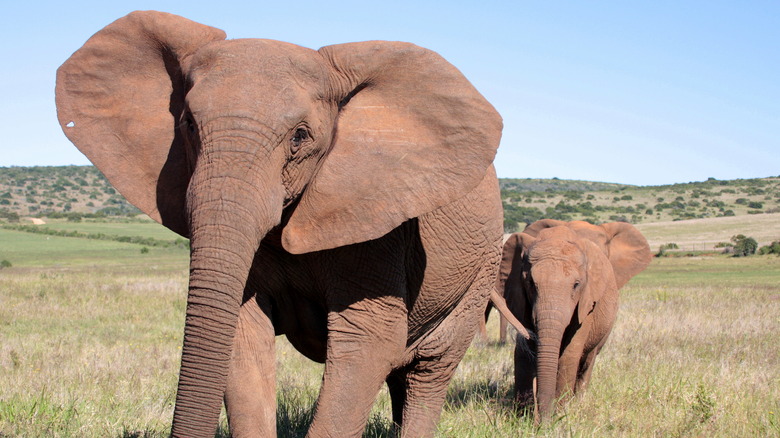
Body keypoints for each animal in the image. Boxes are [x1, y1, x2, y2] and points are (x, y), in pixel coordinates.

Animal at [56, 10, 506, 438]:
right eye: (188, 124)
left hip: (481, 269)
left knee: (428, 371)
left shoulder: (382, 228)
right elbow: (242, 336)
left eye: (300, 137)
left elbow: (369, 341)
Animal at [500, 219, 652, 420]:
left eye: (576, 285)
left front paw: (560, 414)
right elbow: (522, 352)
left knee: (587, 361)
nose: (542, 422)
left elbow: (570, 354)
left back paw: (577, 402)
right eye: (530, 283)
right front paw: (522, 416)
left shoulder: (588, 301)